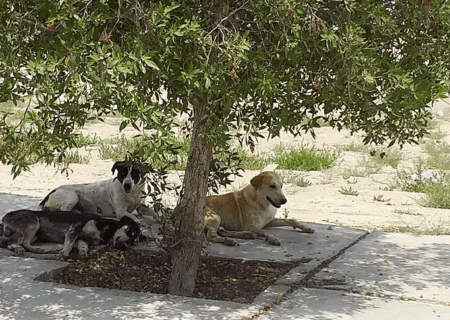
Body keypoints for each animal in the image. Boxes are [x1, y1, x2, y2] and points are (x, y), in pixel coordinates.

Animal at [0, 210, 141, 258]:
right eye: (130, 231)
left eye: (133, 241)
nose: (124, 247)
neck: (107, 229)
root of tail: (5, 217)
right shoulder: (74, 229)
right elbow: (69, 243)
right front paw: (64, 252)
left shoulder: (82, 238)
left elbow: (82, 245)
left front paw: (83, 251)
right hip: (34, 223)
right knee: (24, 242)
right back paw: (37, 249)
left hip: (33, 234)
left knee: (12, 244)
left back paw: (20, 248)